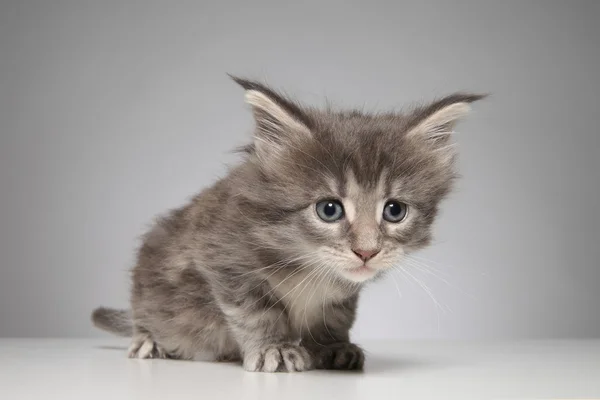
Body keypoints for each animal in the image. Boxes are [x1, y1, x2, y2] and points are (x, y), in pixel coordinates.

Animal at [91, 77, 486, 372]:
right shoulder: (223, 258)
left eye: (394, 211)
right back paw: (148, 340)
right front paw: (275, 349)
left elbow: (335, 316)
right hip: (152, 275)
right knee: (147, 313)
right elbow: (256, 312)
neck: (308, 265)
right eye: (329, 210)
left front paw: (333, 347)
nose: (366, 251)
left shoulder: (341, 295)